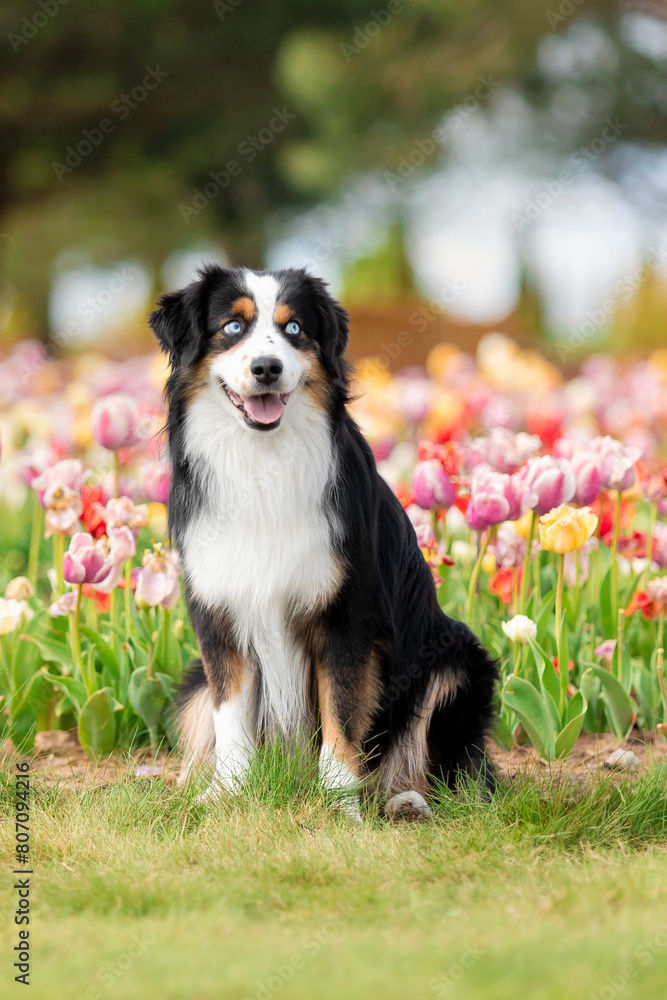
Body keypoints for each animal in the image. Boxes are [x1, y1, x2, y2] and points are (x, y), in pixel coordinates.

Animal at [149, 266, 498, 820]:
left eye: (294, 329)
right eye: (232, 327)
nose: (267, 368)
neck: (262, 463)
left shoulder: (348, 617)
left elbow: (342, 716)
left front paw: (338, 807)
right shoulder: (218, 615)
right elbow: (231, 718)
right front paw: (229, 794)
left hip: (455, 658)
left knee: (443, 766)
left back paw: (406, 800)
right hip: (191, 683)